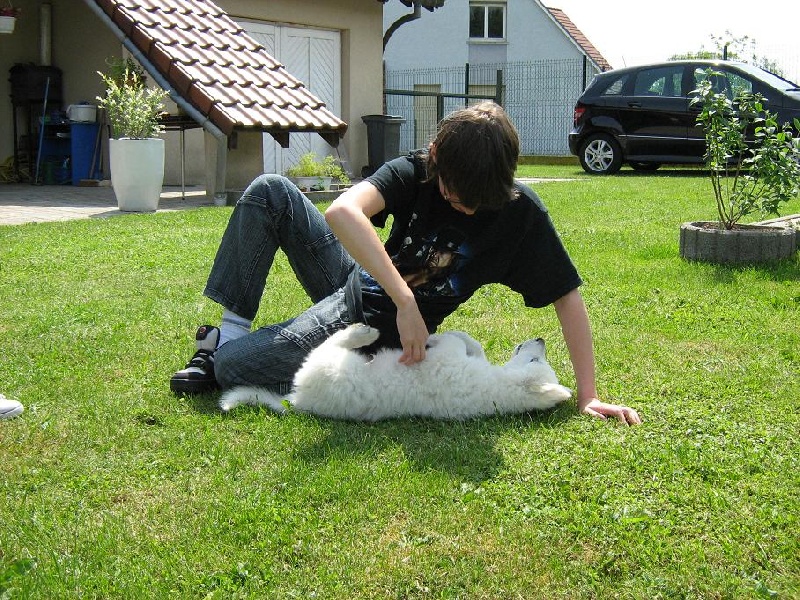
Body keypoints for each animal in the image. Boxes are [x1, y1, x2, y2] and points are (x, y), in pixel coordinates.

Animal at [219, 324, 571, 421]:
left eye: (534, 362)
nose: (540, 339)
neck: (498, 385)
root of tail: (298, 401)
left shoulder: (447, 361)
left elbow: (452, 344)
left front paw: (435, 336)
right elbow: (471, 344)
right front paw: (457, 333)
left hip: (327, 365)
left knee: (326, 345)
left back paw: (362, 333)